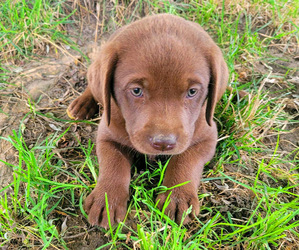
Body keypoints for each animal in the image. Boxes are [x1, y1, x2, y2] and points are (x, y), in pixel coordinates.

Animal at [67, 13, 227, 229]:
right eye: (136, 90)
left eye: (192, 92)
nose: (164, 143)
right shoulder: (107, 135)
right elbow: (113, 163)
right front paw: (106, 199)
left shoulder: (207, 135)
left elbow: (185, 160)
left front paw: (176, 196)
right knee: (93, 86)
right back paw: (81, 105)